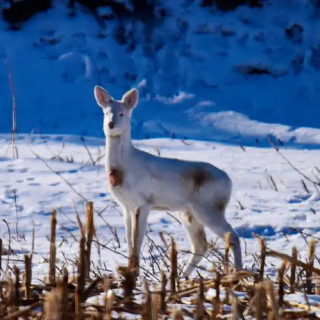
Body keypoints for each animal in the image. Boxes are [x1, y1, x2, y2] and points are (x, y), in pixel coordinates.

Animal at [94, 85, 241, 278]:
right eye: (106, 112)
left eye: (122, 113)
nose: (111, 124)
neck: (124, 167)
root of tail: (229, 182)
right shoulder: (126, 205)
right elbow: (130, 242)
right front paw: (128, 270)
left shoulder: (143, 202)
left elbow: (138, 240)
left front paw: (135, 272)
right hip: (188, 212)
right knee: (201, 244)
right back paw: (181, 278)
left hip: (210, 207)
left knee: (232, 236)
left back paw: (240, 274)